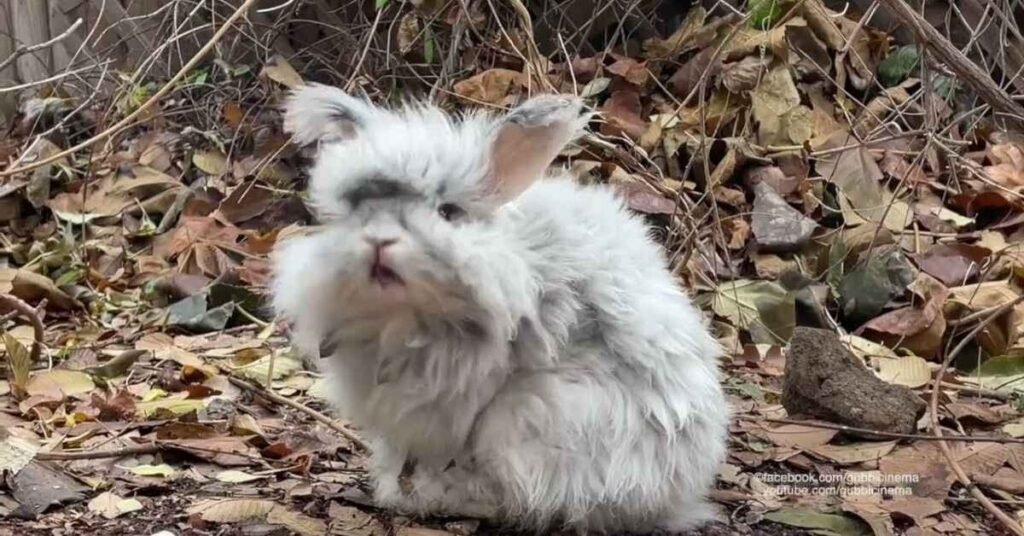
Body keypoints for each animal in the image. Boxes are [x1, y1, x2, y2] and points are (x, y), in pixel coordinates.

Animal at [271, 83, 729, 534]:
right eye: (355, 209)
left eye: (448, 212)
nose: (378, 241)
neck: (405, 316)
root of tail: (680, 496)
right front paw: (392, 484)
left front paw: (414, 491)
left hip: (532, 419)